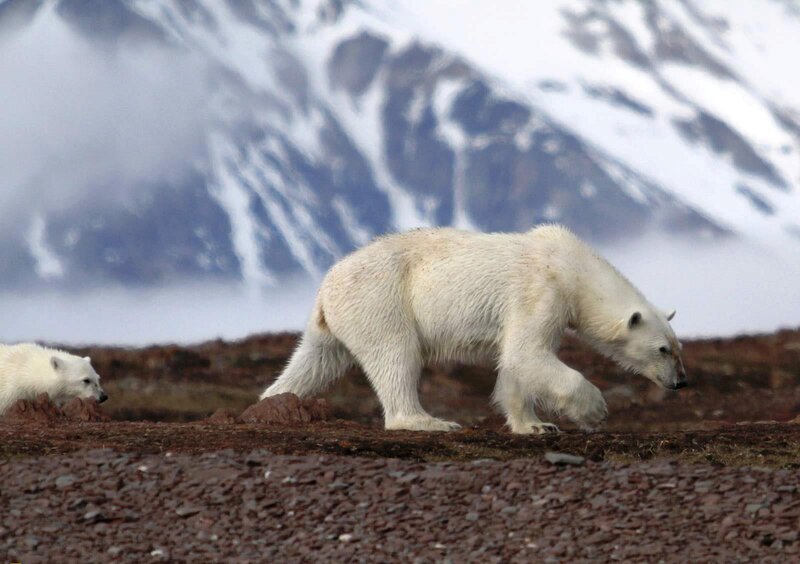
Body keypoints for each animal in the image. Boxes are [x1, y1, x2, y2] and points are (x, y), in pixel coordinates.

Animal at [261, 225, 687, 433]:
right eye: (663, 350)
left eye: (677, 346)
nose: (681, 382)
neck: (572, 268)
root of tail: (325, 286)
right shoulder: (539, 290)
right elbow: (527, 353)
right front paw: (594, 411)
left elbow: (516, 364)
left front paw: (537, 425)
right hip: (381, 299)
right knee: (395, 356)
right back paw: (429, 421)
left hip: (337, 320)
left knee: (315, 361)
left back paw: (274, 399)